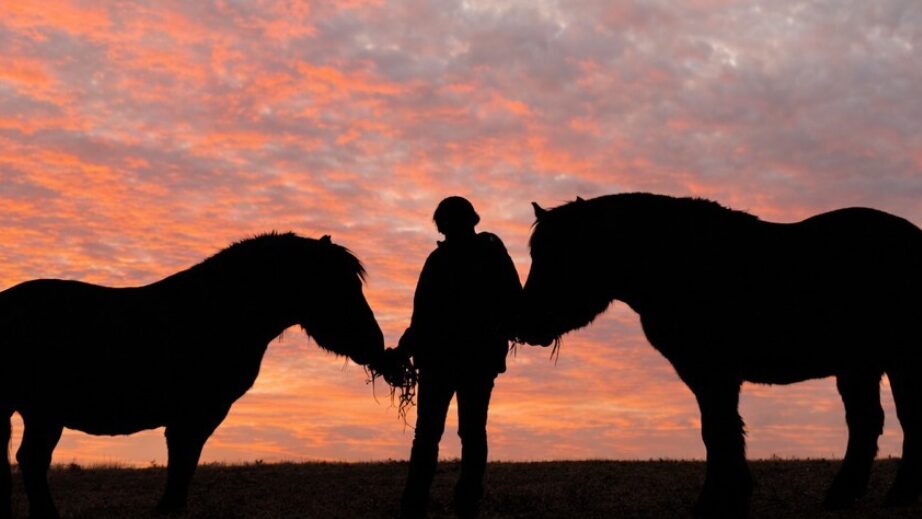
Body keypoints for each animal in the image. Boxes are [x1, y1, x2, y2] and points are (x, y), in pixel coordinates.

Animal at [0, 232, 384, 519]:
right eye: (338, 285)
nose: (376, 344)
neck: (215, 311)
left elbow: (184, 465)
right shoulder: (195, 415)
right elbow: (182, 464)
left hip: (41, 414)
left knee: (30, 460)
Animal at [517, 193, 922, 517]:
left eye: (560, 256)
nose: (525, 326)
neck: (679, 264)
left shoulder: (712, 373)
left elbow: (718, 430)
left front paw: (715, 500)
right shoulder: (708, 375)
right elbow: (721, 430)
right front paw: (730, 496)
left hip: (898, 362)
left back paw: (897, 495)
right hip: (860, 367)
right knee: (866, 422)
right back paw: (843, 496)